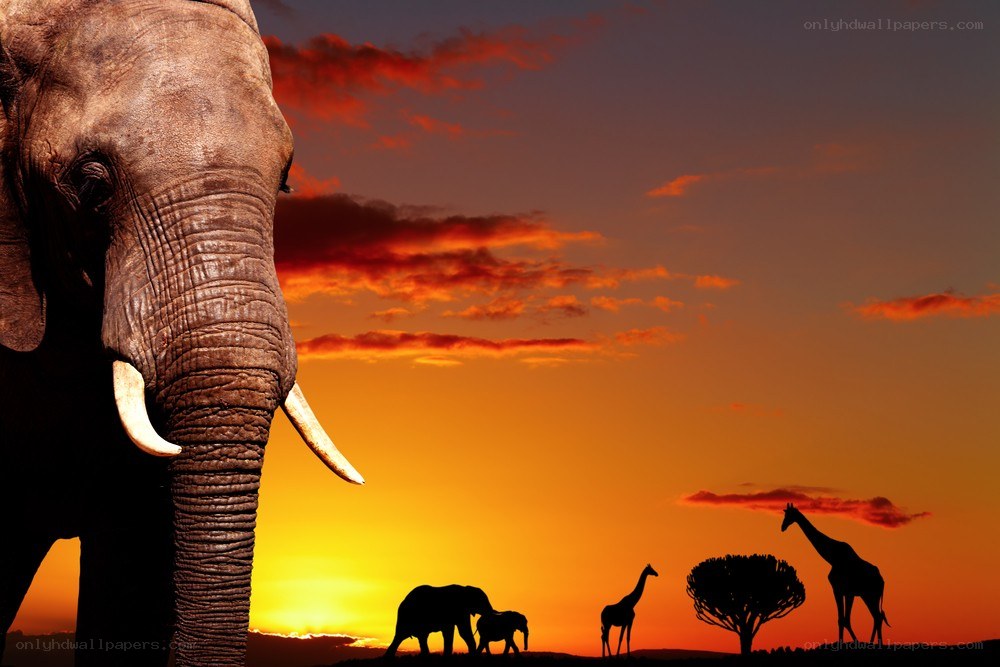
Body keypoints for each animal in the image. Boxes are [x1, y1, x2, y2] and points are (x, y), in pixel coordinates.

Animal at [781, 503, 889, 645]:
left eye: (789, 514)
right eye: (785, 513)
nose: (782, 527)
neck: (832, 557)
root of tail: (882, 580)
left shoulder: (841, 590)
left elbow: (844, 619)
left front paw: (849, 642)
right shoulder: (843, 591)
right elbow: (842, 619)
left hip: (872, 595)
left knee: (878, 616)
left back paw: (875, 643)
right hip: (868, 596)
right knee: (877, 616)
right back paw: (873, 643)